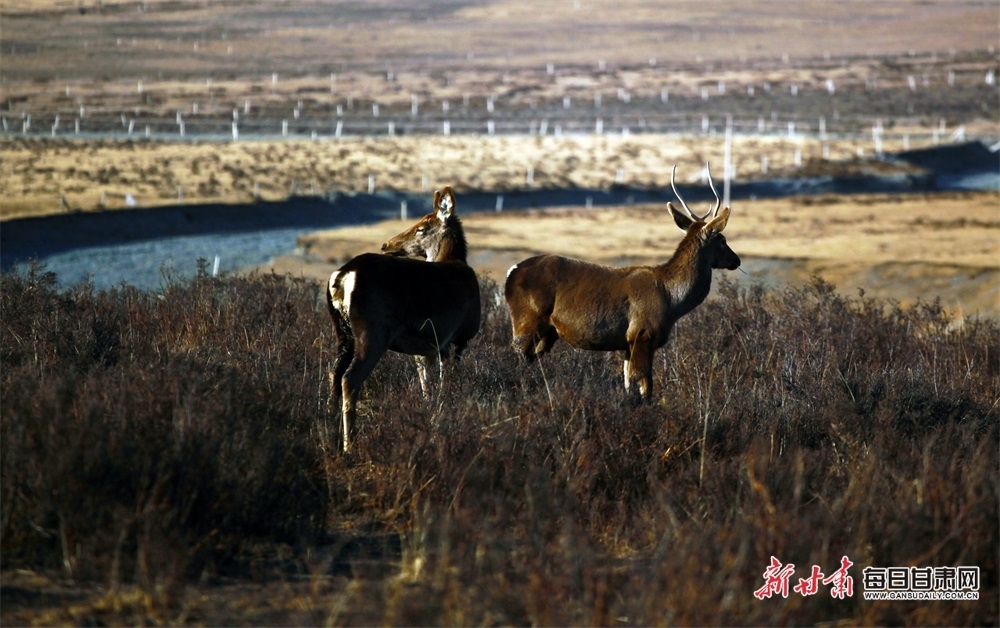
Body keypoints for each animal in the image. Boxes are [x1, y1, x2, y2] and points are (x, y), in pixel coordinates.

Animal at [328, 186, 480, 452]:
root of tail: (342, 276)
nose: (386, 244)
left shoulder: (426, 348)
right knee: (349, 378)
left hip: (342, 331)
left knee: (333, 375)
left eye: (421, 227)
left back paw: (327, 431)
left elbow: (426, 386)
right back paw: (350, 445)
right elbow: (446, 383)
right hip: (373, 329)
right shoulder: (457, 338)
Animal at [504, 164, 740, 400]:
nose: (736, 260)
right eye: (722, 239)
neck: (672, 299)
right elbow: (646, 387)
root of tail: (511, 272)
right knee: (515, 358)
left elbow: (629, 384)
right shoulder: (642, 333)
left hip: (548, 332)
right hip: (527, 320)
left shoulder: (629, 343)